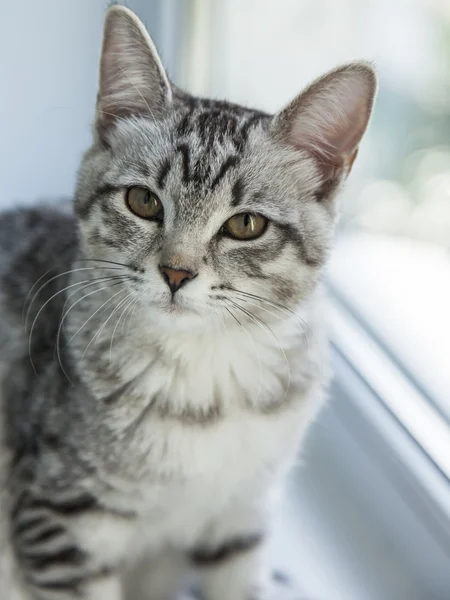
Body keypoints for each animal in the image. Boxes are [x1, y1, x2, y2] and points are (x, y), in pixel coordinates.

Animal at [0, 4, 376, 600]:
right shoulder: (58, 517)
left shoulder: (243, 515)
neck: (206, 376)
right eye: (143, 201)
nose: (177, 272)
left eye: (245, 225)